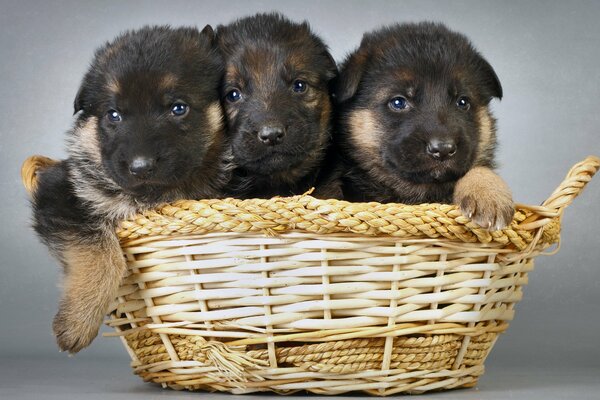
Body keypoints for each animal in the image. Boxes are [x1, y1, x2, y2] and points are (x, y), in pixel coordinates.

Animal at [29, 25, 232, 352]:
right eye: (114, 115)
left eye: (178, 108)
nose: (140, 167)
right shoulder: (60, 190)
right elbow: (102, 254)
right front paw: (78, 322)